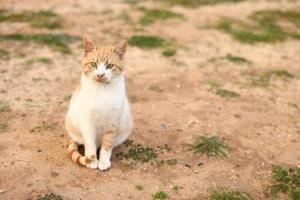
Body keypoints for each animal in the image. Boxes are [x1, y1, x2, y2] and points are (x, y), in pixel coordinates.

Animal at [65, 36, 132, 170]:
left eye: (109, 66)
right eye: (93, 64)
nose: (100, 74)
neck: (102, 91)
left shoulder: (113, 122)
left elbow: (107, 145)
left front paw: (103, 161)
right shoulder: (87, 122)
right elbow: (90, 143)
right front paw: (91, 160)